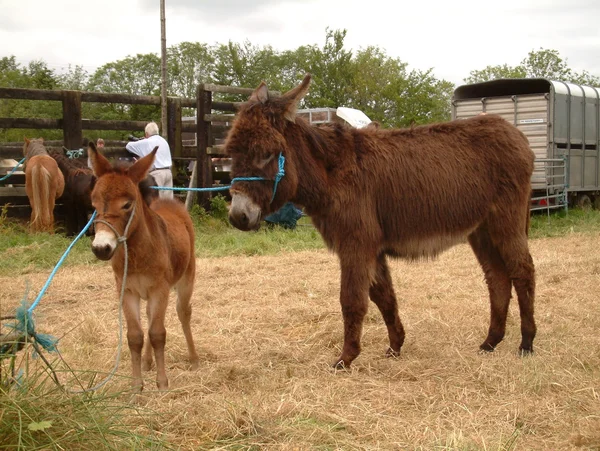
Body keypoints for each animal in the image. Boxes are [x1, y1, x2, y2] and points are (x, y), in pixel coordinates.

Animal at [88, 145, 199, 392]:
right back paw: (148, 362)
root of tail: (170, 203)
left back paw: (193, 357)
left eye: (127, 204)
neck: (138, 256)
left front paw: (162, 384)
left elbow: (158, 333)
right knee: (150, 317)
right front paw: (136, 386)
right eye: (94, 204)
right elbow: (135, 336)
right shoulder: (127, 291)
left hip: (186, 279)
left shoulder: (160, 289)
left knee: (183, 312)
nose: (101, 248)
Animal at [225, 74, 536, 370]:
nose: (238, 217)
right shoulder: (371, 248)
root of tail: (516, 133)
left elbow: (352, 300)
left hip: (506, 220)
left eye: (266, 153)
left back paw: (526, 343)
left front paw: (345, 359)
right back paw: (491, 342)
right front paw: (395, 347)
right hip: (481, 230)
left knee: (522, 272)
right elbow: (384, 296)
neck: (332, 174)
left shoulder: (356, 243)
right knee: (497, 277)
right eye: (231, 154)